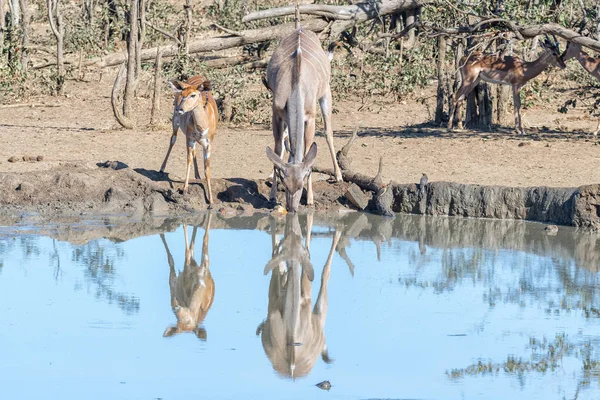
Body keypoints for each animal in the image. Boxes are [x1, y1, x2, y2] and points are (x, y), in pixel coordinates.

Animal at [159, 75, 218, 205]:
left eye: (193, 95)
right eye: (183, 94)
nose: (180, 109)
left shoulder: (209, 143)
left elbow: (207, 168)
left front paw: (211, 200)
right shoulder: (189, 138)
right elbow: (188, 160)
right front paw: (185, 189)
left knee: (194, 151)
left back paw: (197, 175)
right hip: (175, 122)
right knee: (173, 139)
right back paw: (161, 168)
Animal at [266, 21, 344, 214]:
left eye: (301, 184)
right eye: (285, 182)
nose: (291, 208)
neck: (295, 85)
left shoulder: (310, 118)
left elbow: (309, 149)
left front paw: (309, 199)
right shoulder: (276, 113)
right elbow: (278, 148)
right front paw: (272, 194)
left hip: (326, 94)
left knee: (328, 132)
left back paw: (338, 175)